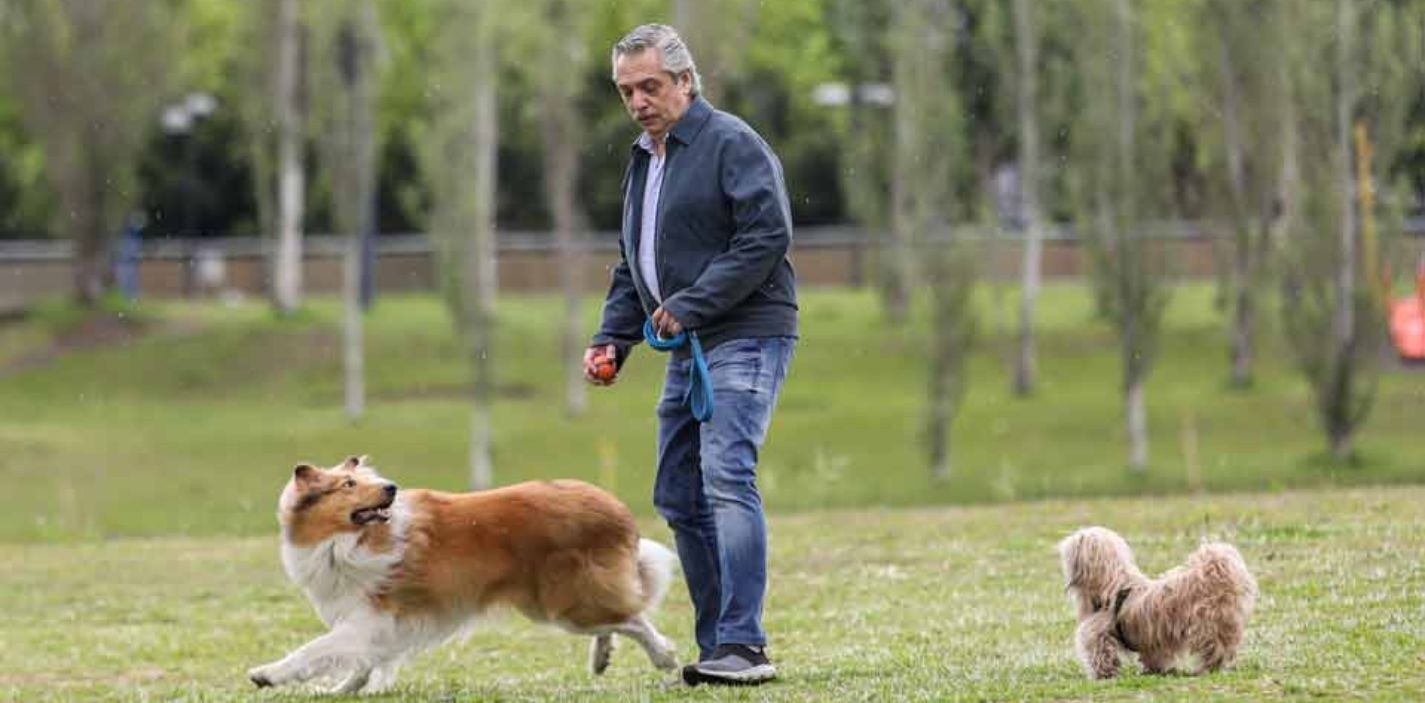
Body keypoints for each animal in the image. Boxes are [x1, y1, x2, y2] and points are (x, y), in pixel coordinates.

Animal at [246, 456, 678, 693]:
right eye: (349, 484)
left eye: (368, 481)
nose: (391, 488)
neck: (347, 541)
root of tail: (616, 508)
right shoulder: (377, 627)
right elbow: (364, 661)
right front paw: (343, 689)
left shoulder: (370, 619)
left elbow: (312, 650)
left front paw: (267, 674)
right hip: (566, 601)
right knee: (618, 618)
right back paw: (602, 657)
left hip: (564, 603)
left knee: (634, 619)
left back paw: (664, 657)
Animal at [1060, 524, 1259, 675]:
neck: (1112, 584)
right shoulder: (1155, 640)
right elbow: (1156, 656)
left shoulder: (1098, 633)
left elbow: (1102, 654)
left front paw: (1104, 674)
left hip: (1207, 626)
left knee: (1215, 648)